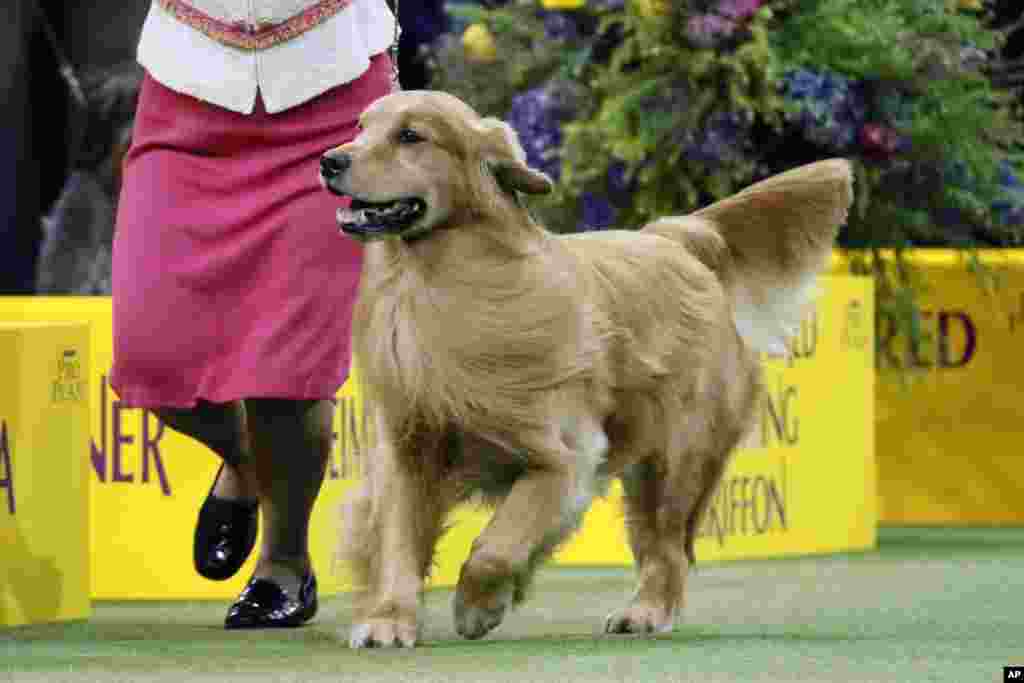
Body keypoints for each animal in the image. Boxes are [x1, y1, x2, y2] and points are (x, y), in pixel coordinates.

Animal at [321, 89, 856, 647]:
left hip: (676, 461)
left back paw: (644, 612)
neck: (440, 285)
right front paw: (389, 619)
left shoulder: (563, 457)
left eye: (411, 135)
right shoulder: (408, 451)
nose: (329, 161)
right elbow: (399, 544)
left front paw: (477, 605)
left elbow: (498, 544)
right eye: (360, 127)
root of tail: (674, 238)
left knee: (667, 550)